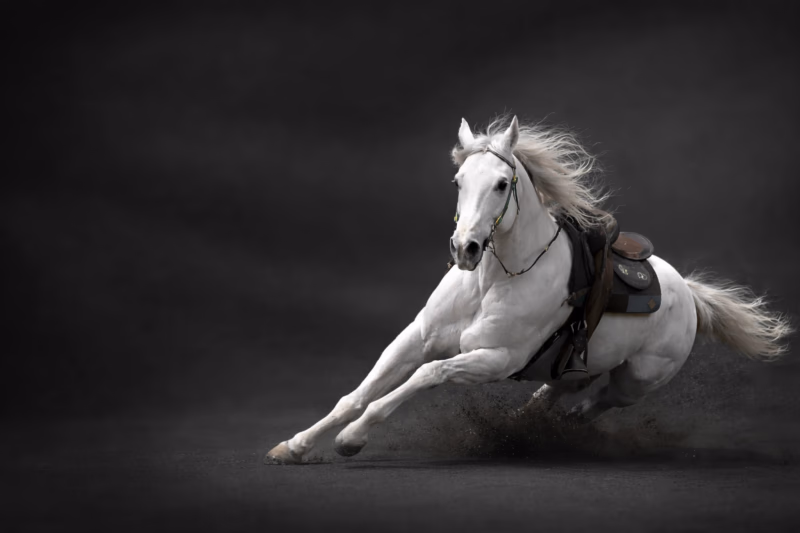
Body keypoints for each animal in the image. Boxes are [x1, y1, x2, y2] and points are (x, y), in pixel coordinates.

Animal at [266, 115, 792, 464]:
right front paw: (297, 444)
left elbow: (424, 377)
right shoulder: (416, 337)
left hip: (638, 380)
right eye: (458, 180)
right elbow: (357, 393)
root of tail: (687, 291)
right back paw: (525, 425)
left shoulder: (494, 359)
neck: (492, 279)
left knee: (593, 403)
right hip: (581, 365)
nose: (465, 248)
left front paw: (351, 439)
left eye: (502, 184)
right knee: (560, 389)